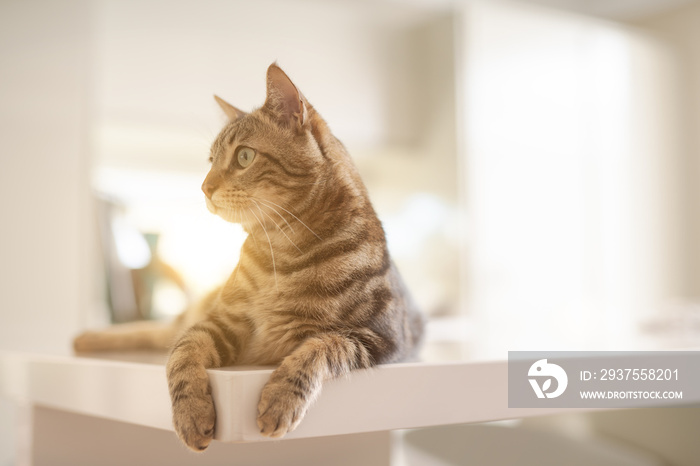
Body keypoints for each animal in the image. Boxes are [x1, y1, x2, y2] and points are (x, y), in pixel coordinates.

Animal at [74, 62, 424, 452]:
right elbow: (182, 352)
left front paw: (280, 399)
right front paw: (191, 412)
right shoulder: (220, 323)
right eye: (211, 160)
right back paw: (87, 338)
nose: (203, 187)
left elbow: (320, 347)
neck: (280, 256)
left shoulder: (380, 338)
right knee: (163, 330)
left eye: (244, 156)